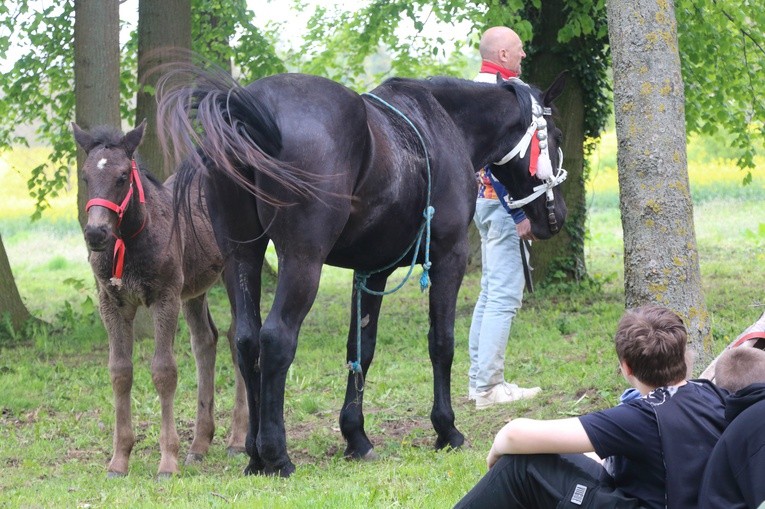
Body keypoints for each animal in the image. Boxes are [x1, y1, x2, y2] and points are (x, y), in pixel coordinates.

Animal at [70, 123, 246, 476]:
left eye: (123, 176)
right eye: (84, 176)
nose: (95, 234)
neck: (129, 241)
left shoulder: (165, 297)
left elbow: (164, 371)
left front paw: (168, 461)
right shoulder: (112, 303)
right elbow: (120, 372)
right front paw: (119, 459)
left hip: (234, 270)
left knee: (238, 336)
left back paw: (237, 440)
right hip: (194, 288)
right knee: (205, 340)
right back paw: (199, 445)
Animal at [158, 69, 568, 474]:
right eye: (557, 136)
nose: (558, 215)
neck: (445, 121)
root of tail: (246, 106)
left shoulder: (371, 271)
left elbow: (361, 350)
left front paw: (356, 436)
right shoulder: (449, 257)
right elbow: (441, 343)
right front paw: (446, 429)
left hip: (242, 257)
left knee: (246, 341)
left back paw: (255, 454)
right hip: (302, 260)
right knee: (275, 338)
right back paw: (276, 454)